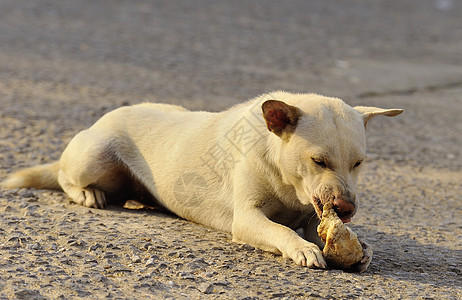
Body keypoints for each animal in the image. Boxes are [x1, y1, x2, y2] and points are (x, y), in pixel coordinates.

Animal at [2, 91, 400, 272]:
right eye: (318, 161)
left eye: (358, 164)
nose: (346, 210)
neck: (289, 187)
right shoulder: (247, 219)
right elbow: (281, 231)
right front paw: (301, 248)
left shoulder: (312, 217)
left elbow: (319, 231)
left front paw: (360, 249)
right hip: (92, 157)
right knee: (64, 176)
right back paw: (88, 194)